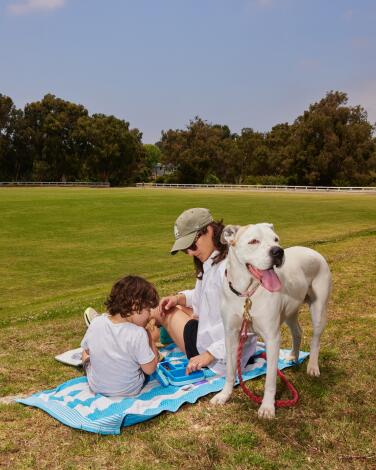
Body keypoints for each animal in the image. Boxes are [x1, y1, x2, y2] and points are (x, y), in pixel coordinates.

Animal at [212, 224, 332, 418]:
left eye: (276, 239)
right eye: (253, 241)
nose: (278, 251)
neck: (247, 293)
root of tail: (313, 251)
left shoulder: (272, 337)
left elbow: (270, 379)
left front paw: (267, 407)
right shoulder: (230, 334)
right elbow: (230, 369)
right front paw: (224, 395)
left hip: (319, 309)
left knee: (315, 339)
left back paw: (313, 367)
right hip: (290, 311)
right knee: (297, 331)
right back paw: (293, 356)